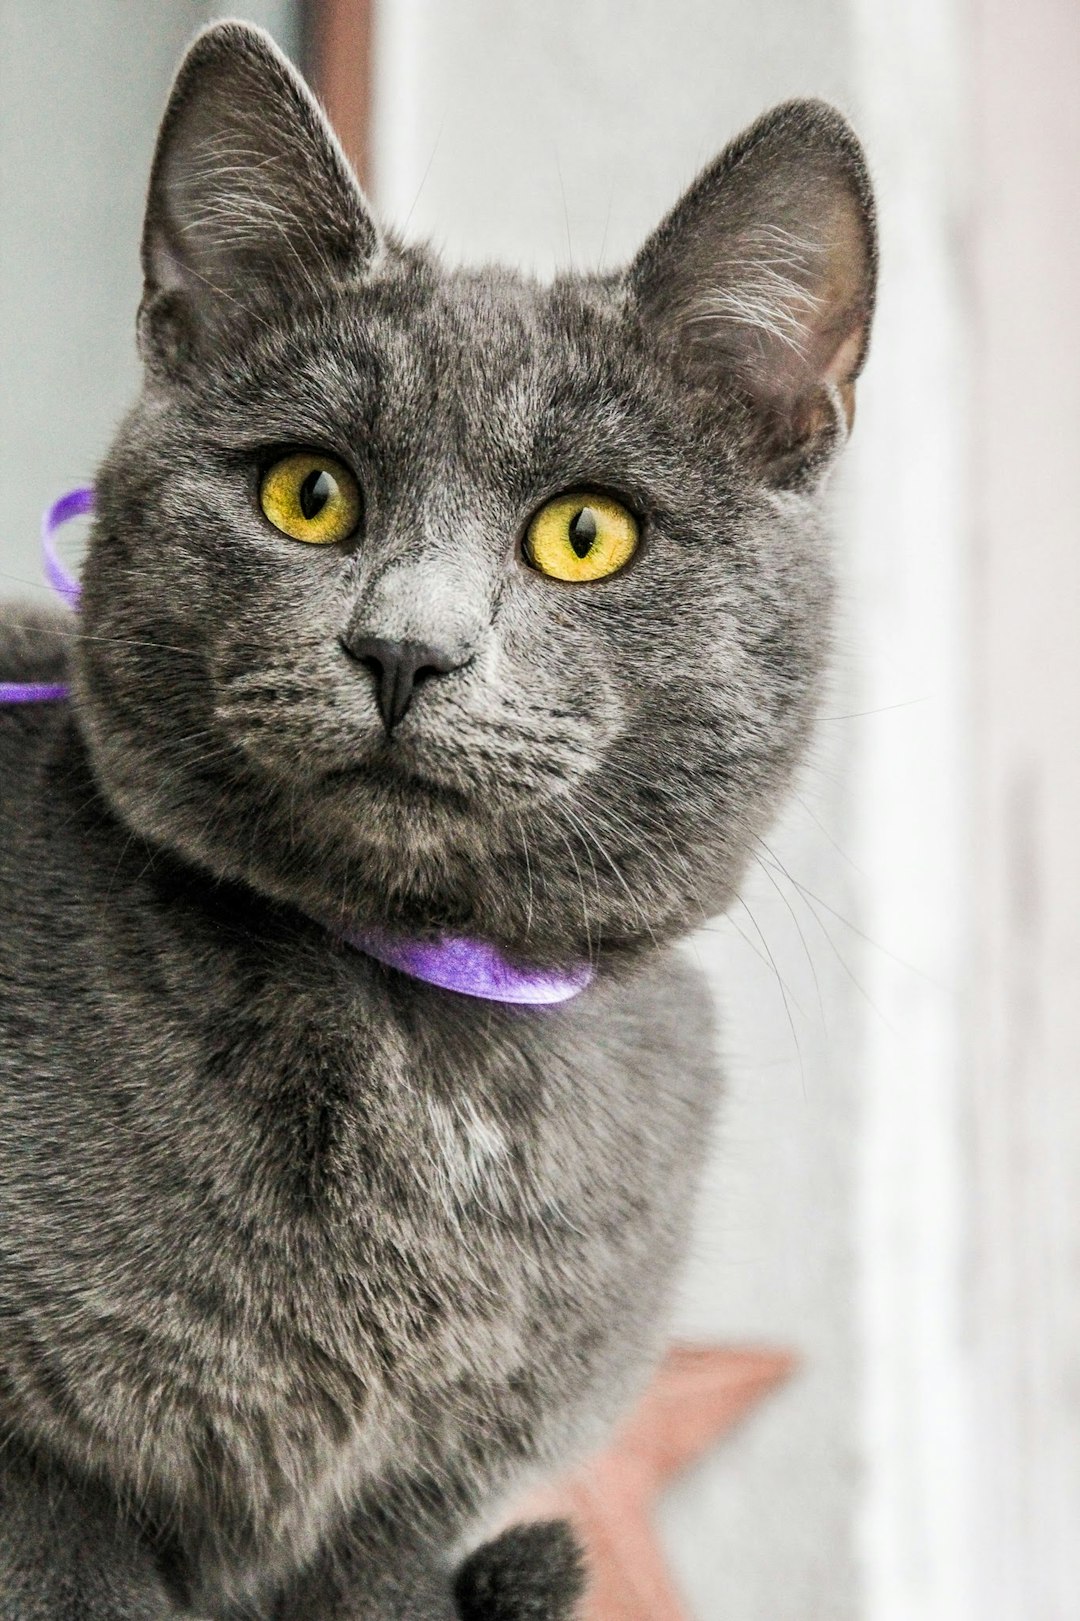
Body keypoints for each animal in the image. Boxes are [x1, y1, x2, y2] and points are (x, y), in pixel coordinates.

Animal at [0, 15, 875, 1621]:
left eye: (586, 533)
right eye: (309, 493)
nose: (405, 648)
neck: (428, 1031)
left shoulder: (403, 1521)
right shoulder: (44, 1486)